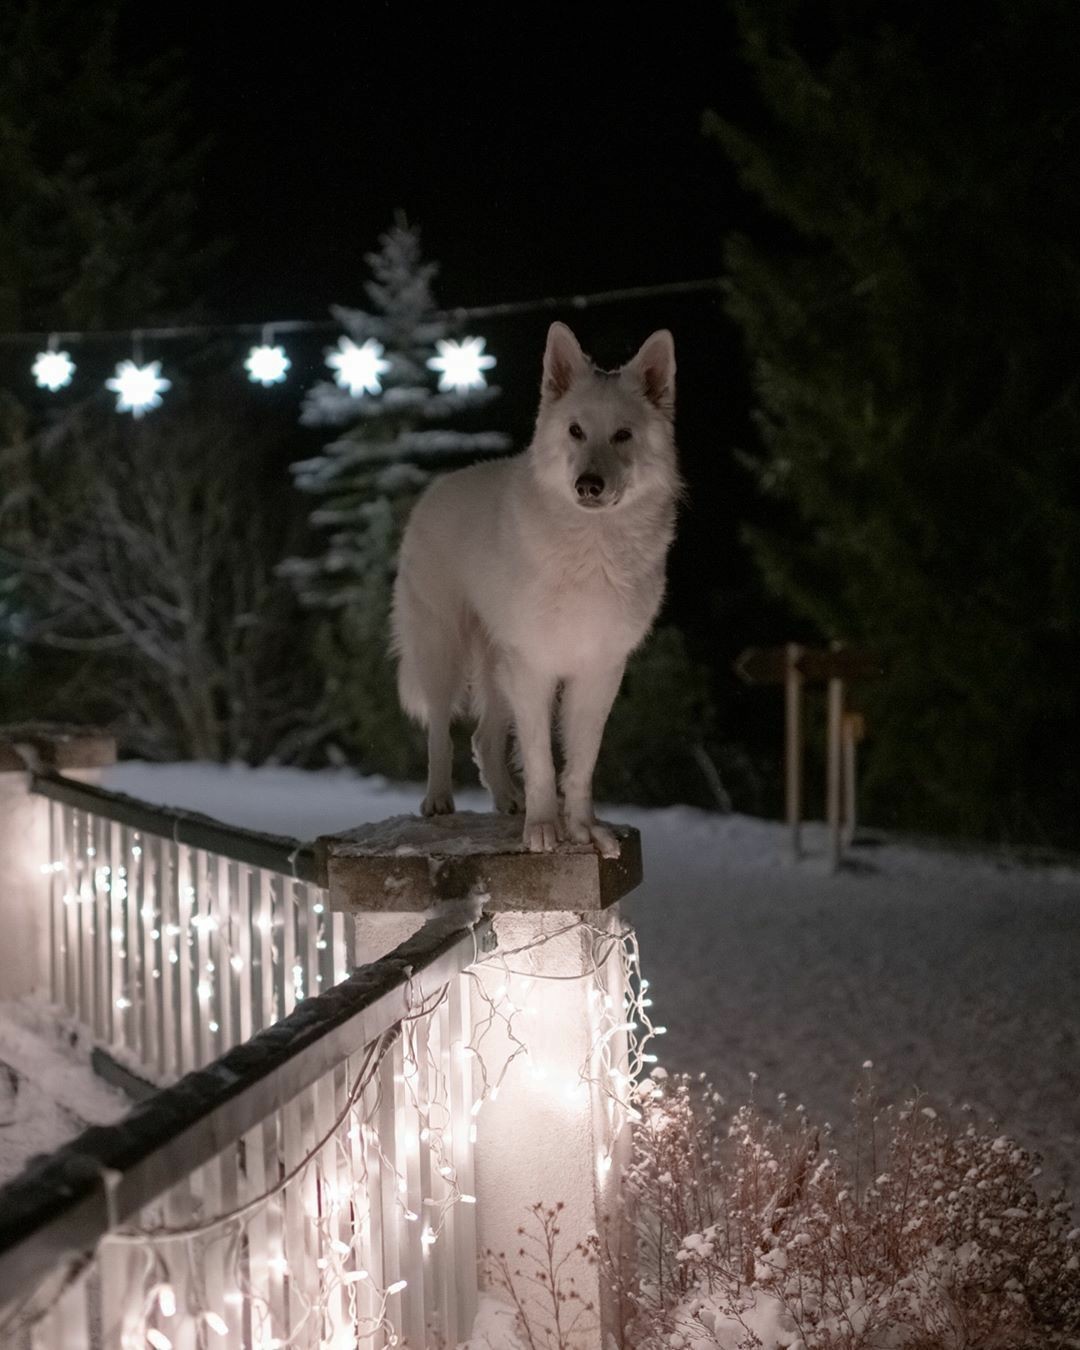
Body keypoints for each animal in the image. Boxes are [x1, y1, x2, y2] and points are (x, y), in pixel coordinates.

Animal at [391, 322, 680, 853]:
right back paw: (439, 800)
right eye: (575, 431)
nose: (589, 485)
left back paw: (509, 800)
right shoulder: (534, 668)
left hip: (499, 670)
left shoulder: (598, 674)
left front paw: (583, 829)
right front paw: (544, 828)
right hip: (444, 653)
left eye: (623, 435)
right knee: (441, 729)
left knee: (483, 739)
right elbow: (543, 761)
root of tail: (435, 489)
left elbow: (580, 764)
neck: (591, 549)